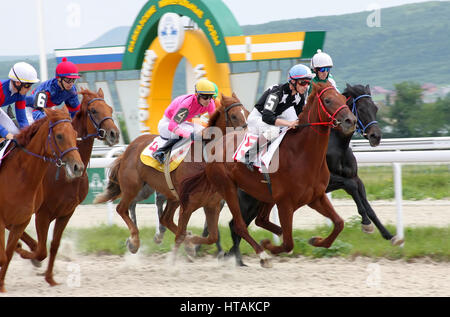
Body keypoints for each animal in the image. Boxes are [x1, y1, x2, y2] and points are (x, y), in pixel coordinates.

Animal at [0, 107, 82, 292]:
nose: (78, 167)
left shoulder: (21, 221)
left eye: (75, 133)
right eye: (59, 136)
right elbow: (3, 257)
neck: (21, 178)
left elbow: (10, 254)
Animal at [14, 87, 119, 286]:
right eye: (94, 110)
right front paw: (30, 256)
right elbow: (41, 250)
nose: (114, 134)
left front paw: (50, 278)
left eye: (110, 108)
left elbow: (54, 245)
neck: (65, 175)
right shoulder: (43, 213)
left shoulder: (67, 211)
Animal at [94, 93, 248, 252]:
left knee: (163, 218)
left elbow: (212, 236)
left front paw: (191, 242)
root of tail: (127, 150)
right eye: (234, 116)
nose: (246, 137)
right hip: (132, 187)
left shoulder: (213, 202)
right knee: (122, 208)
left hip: (162, 193)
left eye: (247, 113)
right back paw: (134, 241)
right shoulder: (188, 201)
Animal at [178, 82, 356, 266]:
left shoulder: (316, 197)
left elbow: (339, 223)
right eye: (328, 100)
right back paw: (261, 254)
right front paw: (268, 245)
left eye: (344, 99)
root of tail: (214, 146)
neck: (302, 154)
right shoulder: (285, 204)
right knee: (239, 225)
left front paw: (316, 240)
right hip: (228, 189)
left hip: (263, 195)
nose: (351, 121)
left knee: (259, 220)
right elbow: (288, 244)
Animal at [225, 82, 404, 266]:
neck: (336, 145)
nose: (376, 136)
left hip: (263, 198)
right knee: (236, 224)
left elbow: (365, 201)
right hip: (248, 199)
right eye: (360, 109)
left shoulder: (352, 178)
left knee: (251, 222)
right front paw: (366, 223)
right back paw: (237, 257)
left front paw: (389, 235)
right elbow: (352, 187)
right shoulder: (332, 181)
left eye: (375, 108)